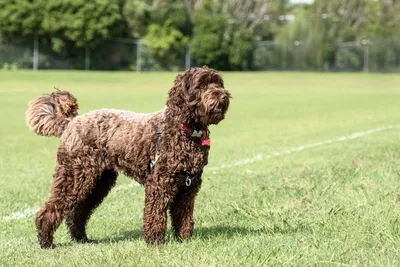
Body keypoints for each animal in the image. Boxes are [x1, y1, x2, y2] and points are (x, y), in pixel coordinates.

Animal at [25, 66, 230, 249]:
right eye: (201, 85)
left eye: (218, 83)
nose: (224, 96)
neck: (184, 129)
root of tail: (71, 122)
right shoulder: (160, 184)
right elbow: (156, 214)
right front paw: (155, 242)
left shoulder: (188, 186)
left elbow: (184, 215)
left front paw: (184, 239)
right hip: (74, 176)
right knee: (50, 210)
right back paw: (46, 241)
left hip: (99, 181)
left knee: (77, 213)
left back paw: (81, 238)